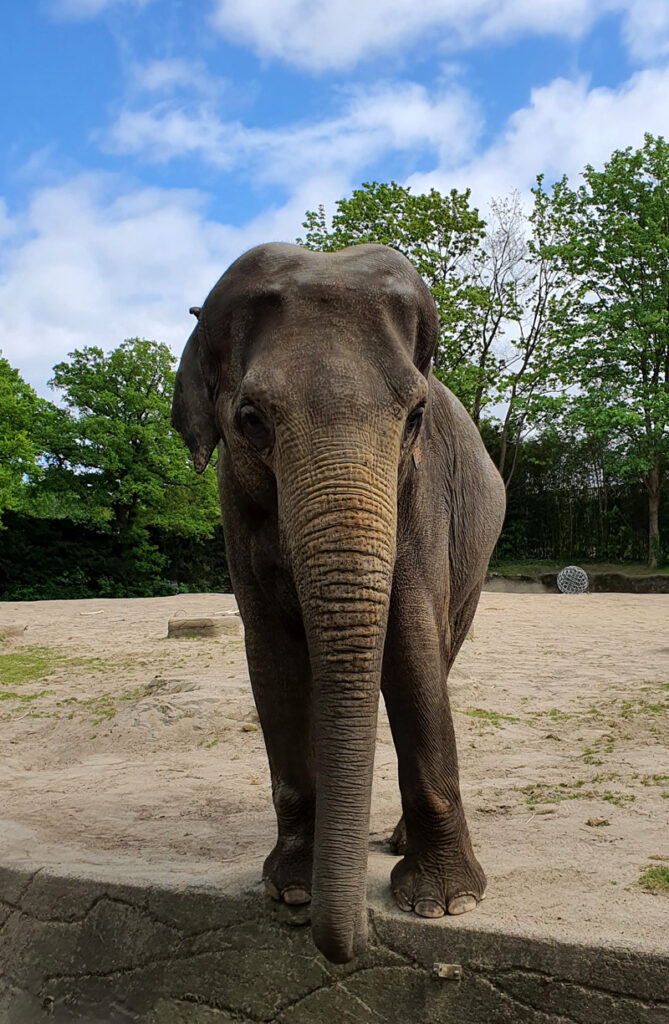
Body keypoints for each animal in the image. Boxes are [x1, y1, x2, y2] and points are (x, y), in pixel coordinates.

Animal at [170, 243, 504, 962]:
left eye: (415, 418)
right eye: (250, 420)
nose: (346, 944)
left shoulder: (422, 495)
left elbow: (411, 643)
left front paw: (445, 905)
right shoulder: (234, 507)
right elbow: (270, 654)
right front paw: (292, 891)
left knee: (442, 648)